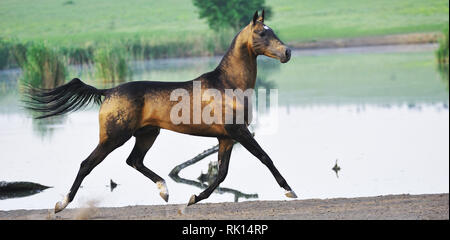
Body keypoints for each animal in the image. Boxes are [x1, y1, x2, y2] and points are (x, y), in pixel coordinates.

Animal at [26, 9, 298, 214]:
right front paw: (290, 190)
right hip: (114, 137)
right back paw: (61, 204)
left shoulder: (225, 138)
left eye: (273, 31)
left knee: (134, 160)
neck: (227, 84)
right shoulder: (239, 132)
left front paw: (193, 198)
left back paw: (164, 191)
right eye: (262, 32)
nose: (287, 52)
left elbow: (222, 174)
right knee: (87, 164)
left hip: (147, 134)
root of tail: (109, 90)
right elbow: (265, 157)